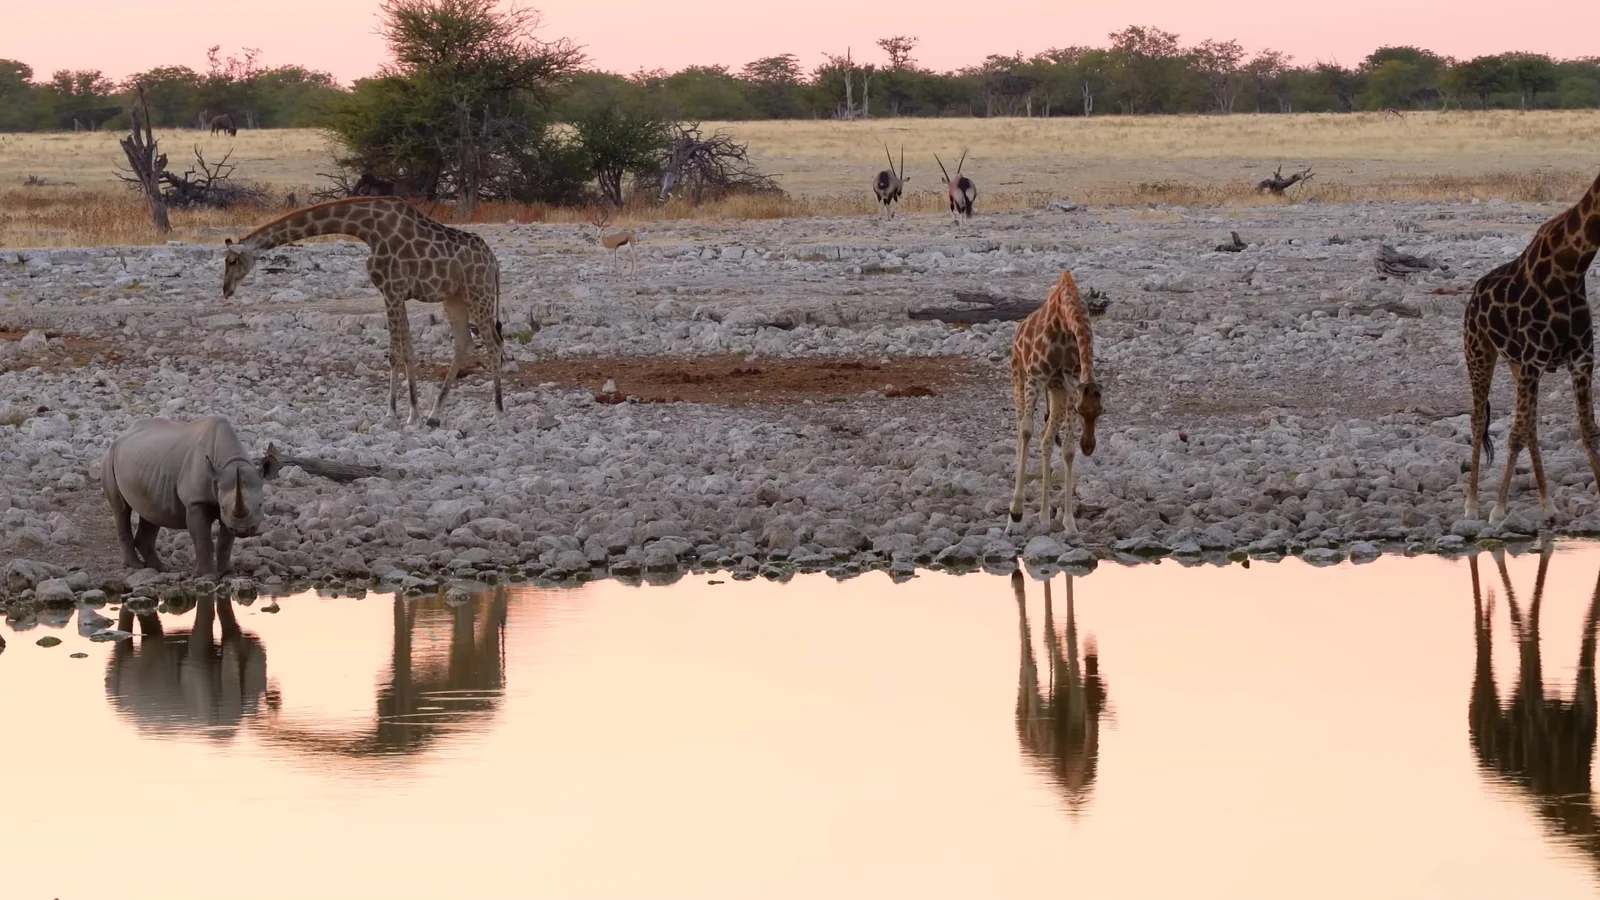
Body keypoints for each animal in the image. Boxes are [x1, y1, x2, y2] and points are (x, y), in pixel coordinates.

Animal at [221, 197, 505, 428]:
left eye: (232, 261)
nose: (225, 290)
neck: (367, 228)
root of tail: (494, 262)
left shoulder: (392, 290)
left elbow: (396, 353)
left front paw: (393, 413)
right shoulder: (395, 293)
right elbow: (407, 351)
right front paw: (412, 413)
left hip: (479, 294)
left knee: (493, 345)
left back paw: (498, 413)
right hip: (454, 298)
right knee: (465, 343)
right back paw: (435, 414)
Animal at [1007, 269, 1103, 536]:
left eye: (1100, 412)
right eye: (1081, 411)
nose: (1089, 446)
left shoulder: (1070, 385)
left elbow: (1068, 450)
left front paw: (1070, 523)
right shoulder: (1035, 377)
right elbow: (1026, 431)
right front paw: (1015, 512)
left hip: (1055, 391)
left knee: (1046, 438)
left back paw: (1043, 516)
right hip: (1019, 376)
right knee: (1021, 431)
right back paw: (1013, 517)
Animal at [1012, 571, 1108, 816]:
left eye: (1101, 693)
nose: (1092, 653)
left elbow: (1062, 630)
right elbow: (1060, 633)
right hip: (1028, 698)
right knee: (1027, 657)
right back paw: (1017, 579)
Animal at [1464, 168, 1600, 524]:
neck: (1571, 266)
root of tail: (1474, 294)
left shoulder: (1581, 359)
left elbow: (1589, 431)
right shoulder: (1534, 360)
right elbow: (1512, 435)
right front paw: (1497, 509)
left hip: (1516, 363)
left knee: (1530, 426)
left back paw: (1547, 503)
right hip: (1479, 351)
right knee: (1480, 421)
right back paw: (1471, 504)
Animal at [1467, 546, 1600, 870]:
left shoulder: (1585, 702)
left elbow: (1586, 621)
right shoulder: (1533, 698)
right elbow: (1530, 624)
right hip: (1484, 696)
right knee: (1482, 637)